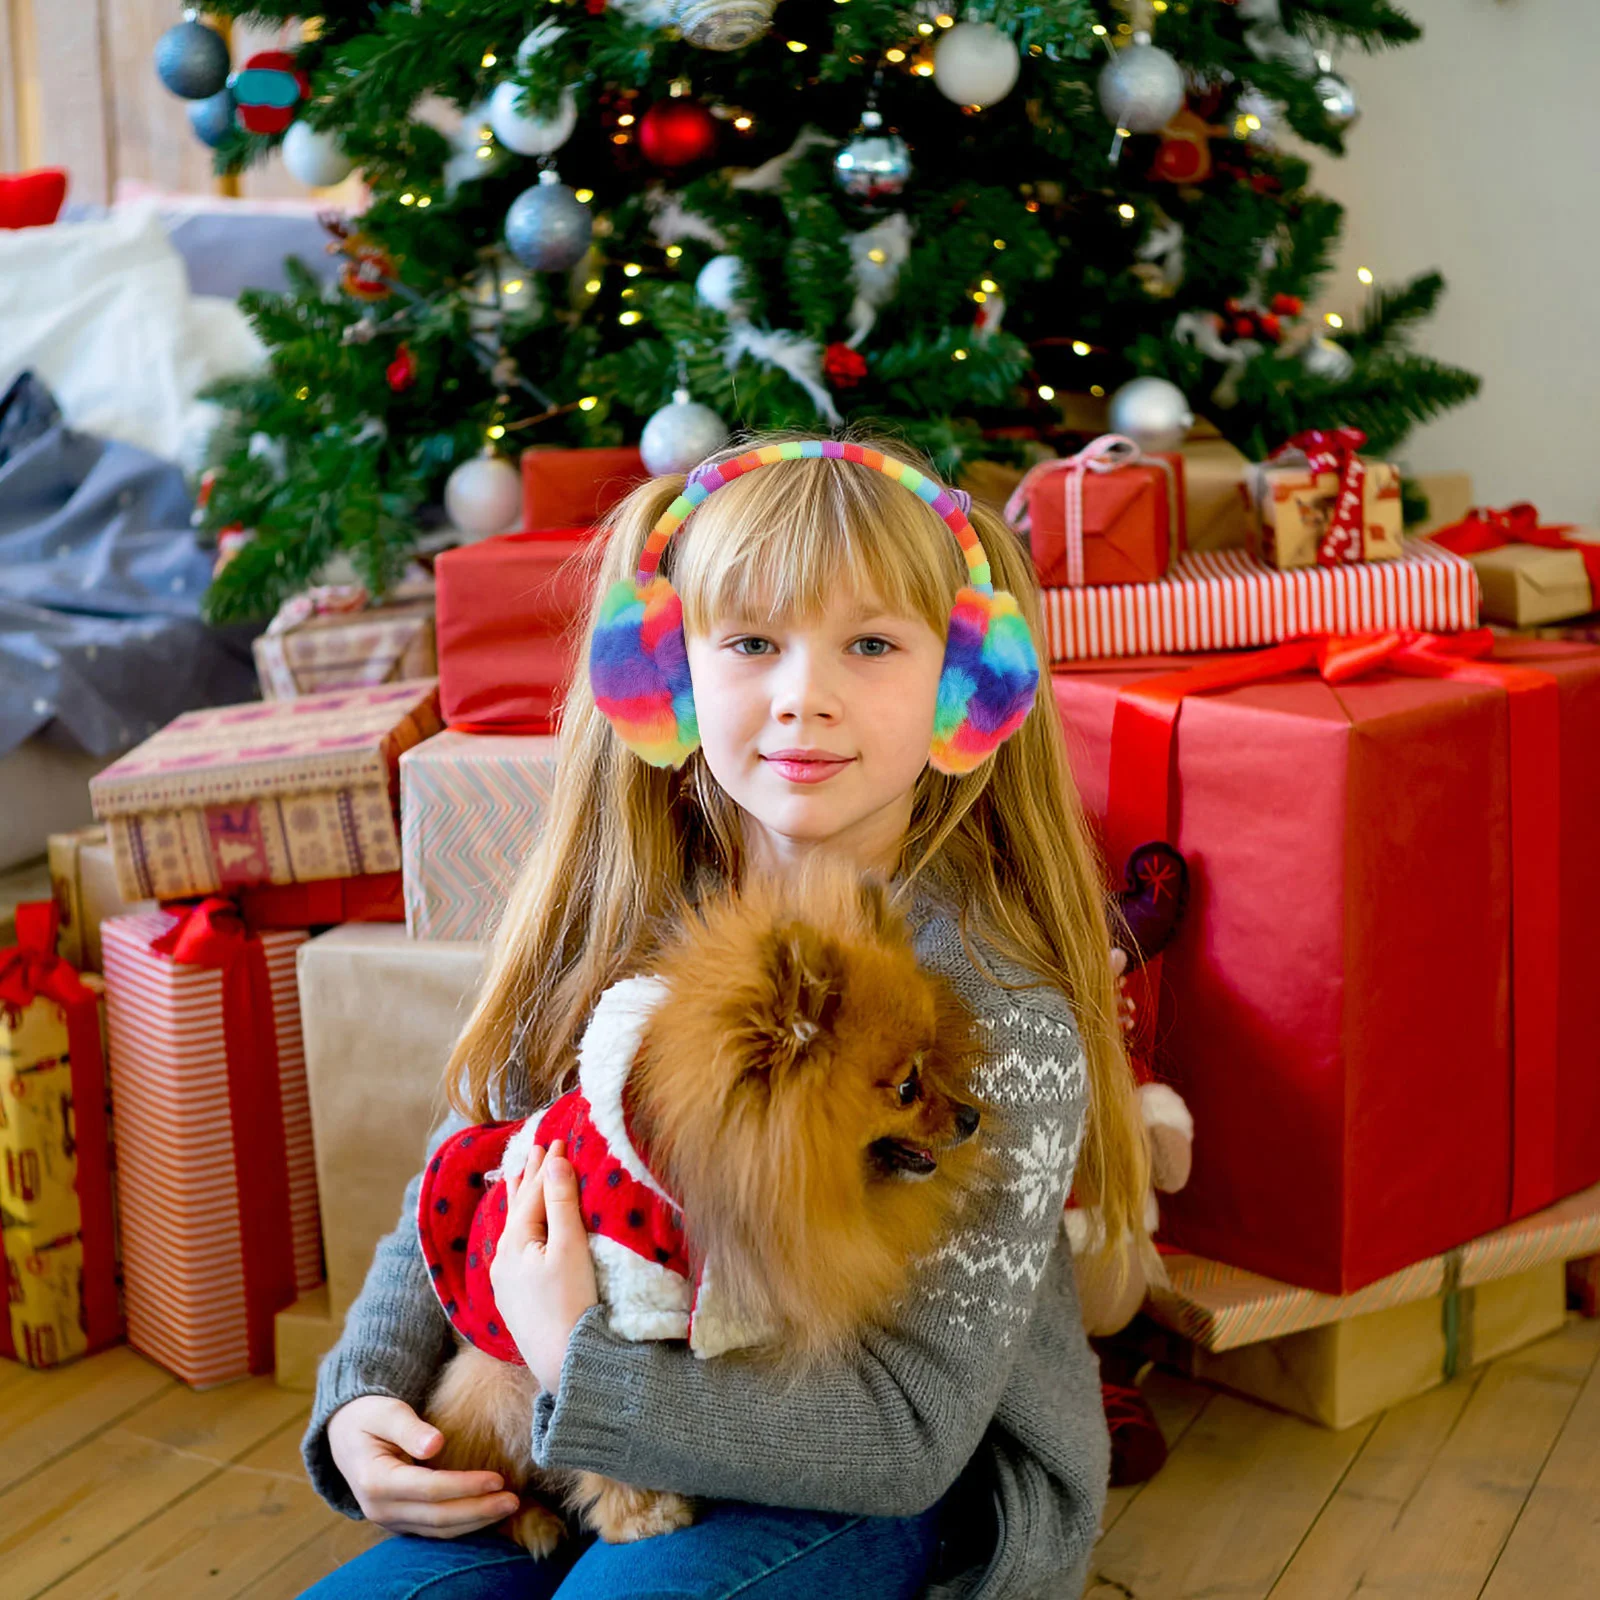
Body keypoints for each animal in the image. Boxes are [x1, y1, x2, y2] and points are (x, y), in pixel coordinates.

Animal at [416, 864, 985, 1548]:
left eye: (934, 1063)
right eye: (906, 1087)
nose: (972, 1116)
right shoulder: (624, 1298)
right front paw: (644, 1516)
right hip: (499, 1385)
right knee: (492, 1478)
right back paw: (531, 1518)